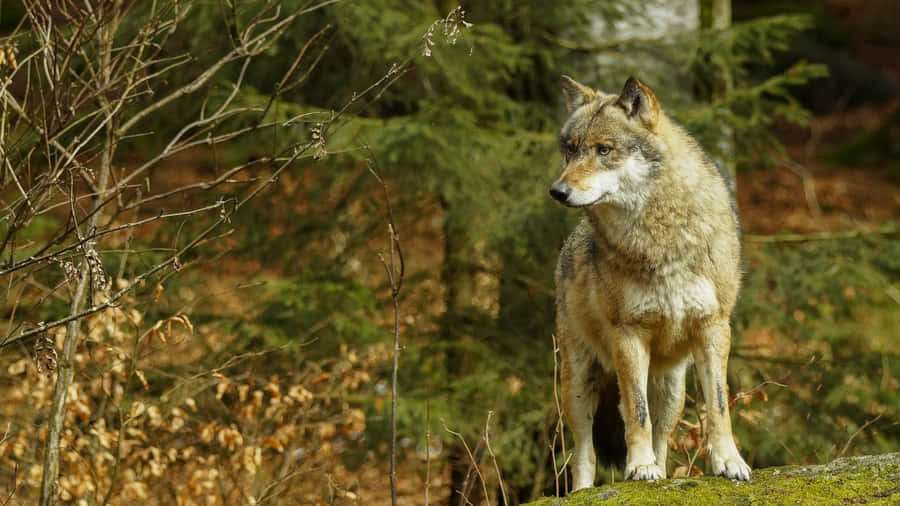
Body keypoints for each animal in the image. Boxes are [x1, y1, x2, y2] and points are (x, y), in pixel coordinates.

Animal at [550, 75, 751, 489]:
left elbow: (718, 407)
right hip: (579, 383)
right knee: (584, 451)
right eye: (571, 151)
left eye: (604, 150)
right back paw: (585, 489)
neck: (661, 236)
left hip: (671, 389)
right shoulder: (629, 334)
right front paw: (639, 467)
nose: (557, 191)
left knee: (661, 438)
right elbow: (635, 415)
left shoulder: (714, 327)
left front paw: (729, 462)